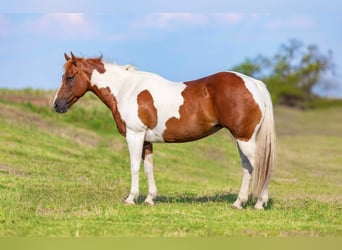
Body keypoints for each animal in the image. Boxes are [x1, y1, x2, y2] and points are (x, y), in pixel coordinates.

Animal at [54, 52, 278, 209]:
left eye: (70, 77)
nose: (57, 106)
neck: (127, 90)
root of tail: (253, 83)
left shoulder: (134, 135)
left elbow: (134, 166)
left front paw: (131, 198)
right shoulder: (146, 140)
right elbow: (148, 168)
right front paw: (150, 199)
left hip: (245, 139)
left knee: (260, 166)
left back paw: (259, 203)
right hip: (243, 139)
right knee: (248, 168)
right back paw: (239, 203)